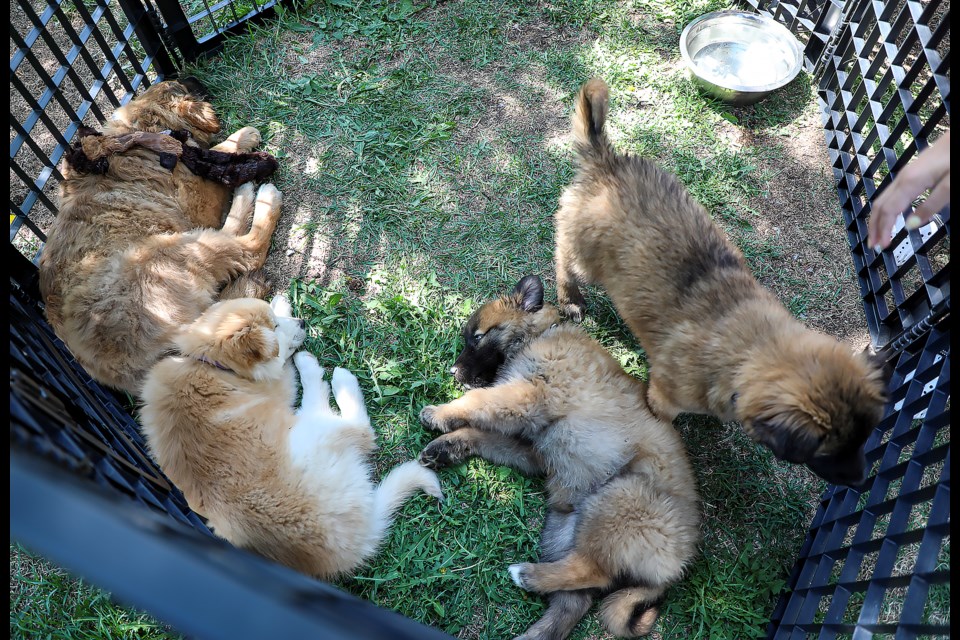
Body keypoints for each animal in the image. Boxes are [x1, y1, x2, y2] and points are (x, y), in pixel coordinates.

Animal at [41, 79, 282, 396]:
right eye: (181, 86)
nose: (195, 78)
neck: (142, 135)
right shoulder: (201, 195)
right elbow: (218, 153)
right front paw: (244, 137)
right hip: (174, 248)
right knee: (249, 248)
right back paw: (261, 196)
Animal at [140, 296, 442, 580]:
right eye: (274, 328)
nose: (303, 323)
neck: (208, 364)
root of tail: (355, 542)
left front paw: (280, 300)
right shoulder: (280, 386)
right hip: (309, 432)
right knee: (356, 427)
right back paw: (333, 376)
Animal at [418, 276, 696, 640]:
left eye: (476, 337)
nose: (452, 372)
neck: (540, 334)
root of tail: (678, 564)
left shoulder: (527, 395)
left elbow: (478, 400)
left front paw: (440, 412)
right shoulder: (533, 449)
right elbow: (483, 434)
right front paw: (447, 445)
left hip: (618, 501)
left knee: (593, 572)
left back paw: (527, 575)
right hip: (562, 527)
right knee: (573, 603)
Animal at [552, 77, 888, 488]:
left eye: (864, 439)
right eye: (828, 451)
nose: (861, 481)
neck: (749, 350)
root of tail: (606, 161)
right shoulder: (663, 394)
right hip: (585, 257)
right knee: (563, 258)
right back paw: (570, 299)